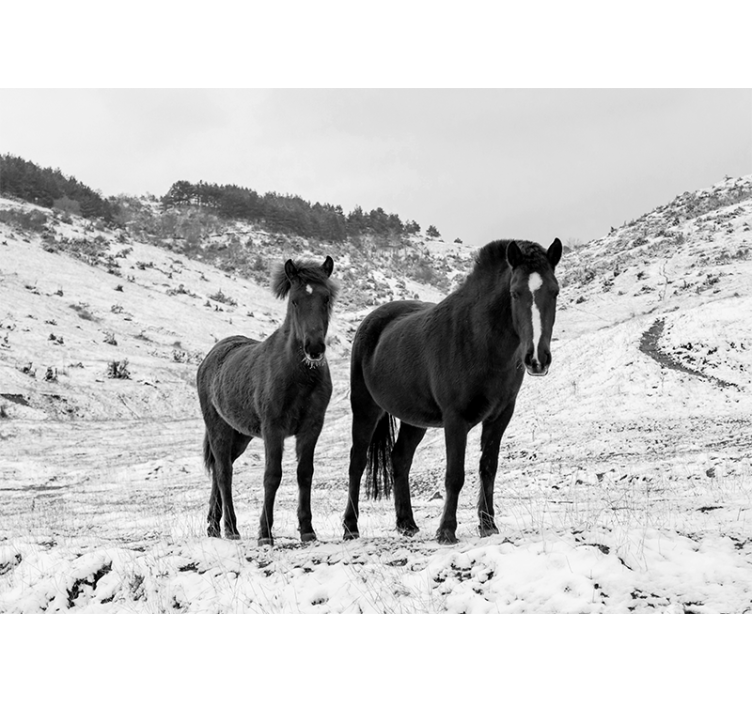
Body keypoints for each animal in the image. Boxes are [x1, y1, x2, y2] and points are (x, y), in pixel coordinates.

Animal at [197, 256, 337, 545]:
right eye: (294, 301)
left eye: (326, 298)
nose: (314, 348)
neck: (298, 376)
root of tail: (211, 357)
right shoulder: (274, 428)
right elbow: (272, 476)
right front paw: (265, 534)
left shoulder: (311, 427)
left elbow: (305, 473)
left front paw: (307, 530)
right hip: (219, 430)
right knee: (224, 473)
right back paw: (231, 528)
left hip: (240, 436)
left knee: (219, 469)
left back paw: (214, 527)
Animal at [342, 238, 562, 544]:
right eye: (515, 293)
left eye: (555, 291)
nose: (537, 359)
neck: (478, 340)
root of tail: (370, 322)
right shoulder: (455, 420)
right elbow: (455, 475)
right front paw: (446, 531)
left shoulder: (500, 417)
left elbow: (488, 468)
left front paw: (488, 525)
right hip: (365, 408)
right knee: (357, 463)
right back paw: (350, 527)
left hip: (414, 420)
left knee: (400, 459)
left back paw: (406, 523)